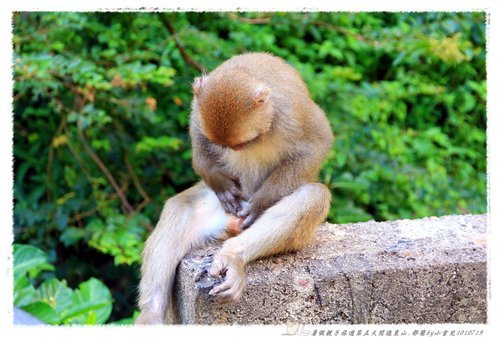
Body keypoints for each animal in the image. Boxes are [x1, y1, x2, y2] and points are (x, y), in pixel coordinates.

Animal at [135, 51, 334, 322]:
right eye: (225, 145)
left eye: (241, 145)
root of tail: (229, 227)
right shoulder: (197, 107)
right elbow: (198, 136)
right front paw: (221, 184)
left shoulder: (294, 112)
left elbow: (318, 143)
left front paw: (260, 204)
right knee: (182, 206)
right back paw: (152, 313)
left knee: (313, 196)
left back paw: (233, 256)